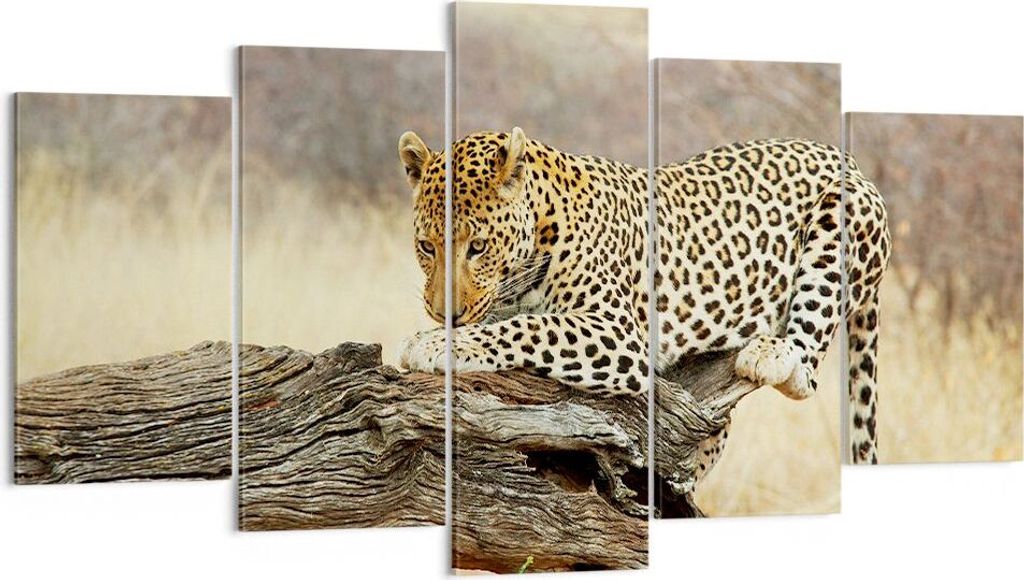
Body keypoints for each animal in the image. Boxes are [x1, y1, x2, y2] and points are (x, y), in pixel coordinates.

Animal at [397, 127, 890, 470]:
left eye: (477, 247)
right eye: (425, 247)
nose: (445, 315)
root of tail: (845, 156)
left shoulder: (619, 332)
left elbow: (528, 327)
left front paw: (434, 344)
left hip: (840, 222)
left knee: (806, 370)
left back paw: (770, 353)